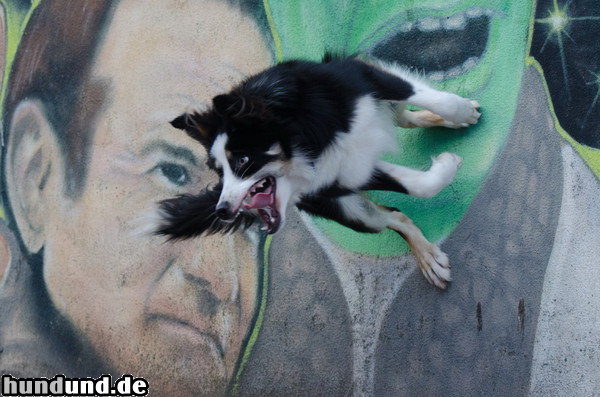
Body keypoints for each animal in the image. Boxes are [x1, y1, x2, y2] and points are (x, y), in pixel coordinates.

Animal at [157, 54, 480, 288]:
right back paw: (428, 257)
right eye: (219, 173)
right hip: (351, 213)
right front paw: (447, 163)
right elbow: (419, 186)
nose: (222, 210)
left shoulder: (360, 77)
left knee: (402, 115)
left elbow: (429, 96)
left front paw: (459, 111)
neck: (309, 138)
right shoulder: (343, 176)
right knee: (394, 216)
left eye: (242, 160)